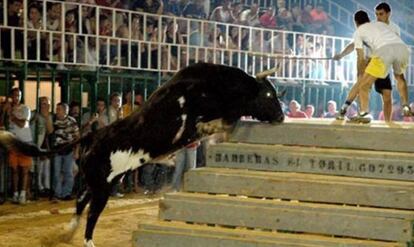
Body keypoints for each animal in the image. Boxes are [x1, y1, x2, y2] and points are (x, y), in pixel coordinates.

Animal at [0, 62, 284, 246]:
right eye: (269, 93)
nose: (281, 117)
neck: (214, 84)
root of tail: (94, 135)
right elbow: (216, 122)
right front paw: (209, 129)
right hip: (102, 187)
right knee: (91, 213)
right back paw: (87, 240)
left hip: (99, 181)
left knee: (80, 202)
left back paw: (68, 232)